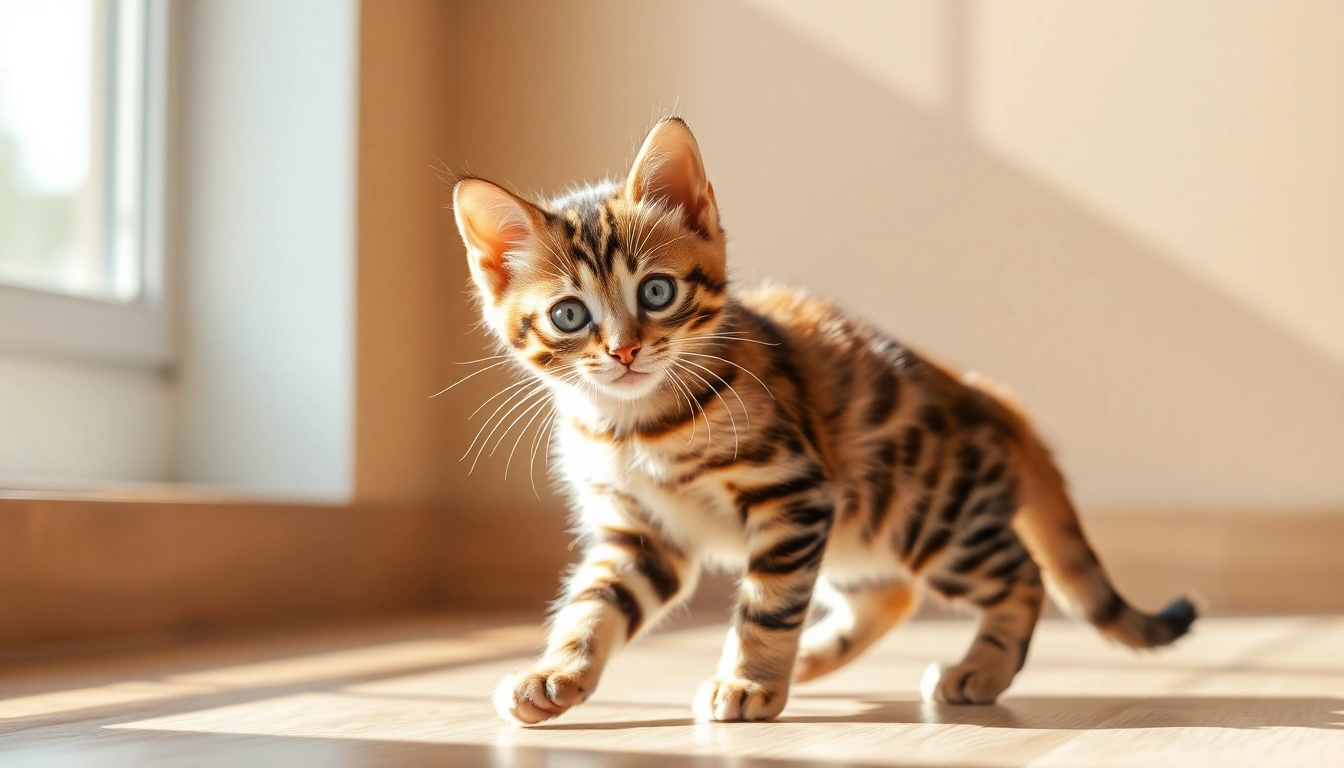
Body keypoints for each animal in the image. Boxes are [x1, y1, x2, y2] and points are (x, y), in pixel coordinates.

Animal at [454, 117, 1198, 726]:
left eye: (657, 292)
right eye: (569, 315)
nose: (624, 351)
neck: (635, 426)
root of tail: (990, 397)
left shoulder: (791, 491)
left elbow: (770, 602)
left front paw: (751, 683)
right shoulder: (640, 533)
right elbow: (592, 607)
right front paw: (556, 674)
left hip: (931, 515)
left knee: (1019, 577)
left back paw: (977, 671)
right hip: (861, 524)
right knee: (889, 593)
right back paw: (811, 659)